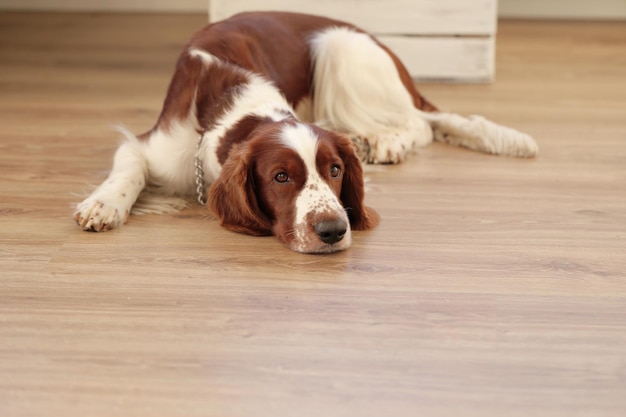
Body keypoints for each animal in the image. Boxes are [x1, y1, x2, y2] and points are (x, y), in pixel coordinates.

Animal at [72, 11, 532, 254]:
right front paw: (103, 205)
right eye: (280, 177)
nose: (333, 231)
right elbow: (129, 165)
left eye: (335, 170)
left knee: (420, 123)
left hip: (338, 48)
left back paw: (385, 142)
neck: (233, 104)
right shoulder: (158, 144)